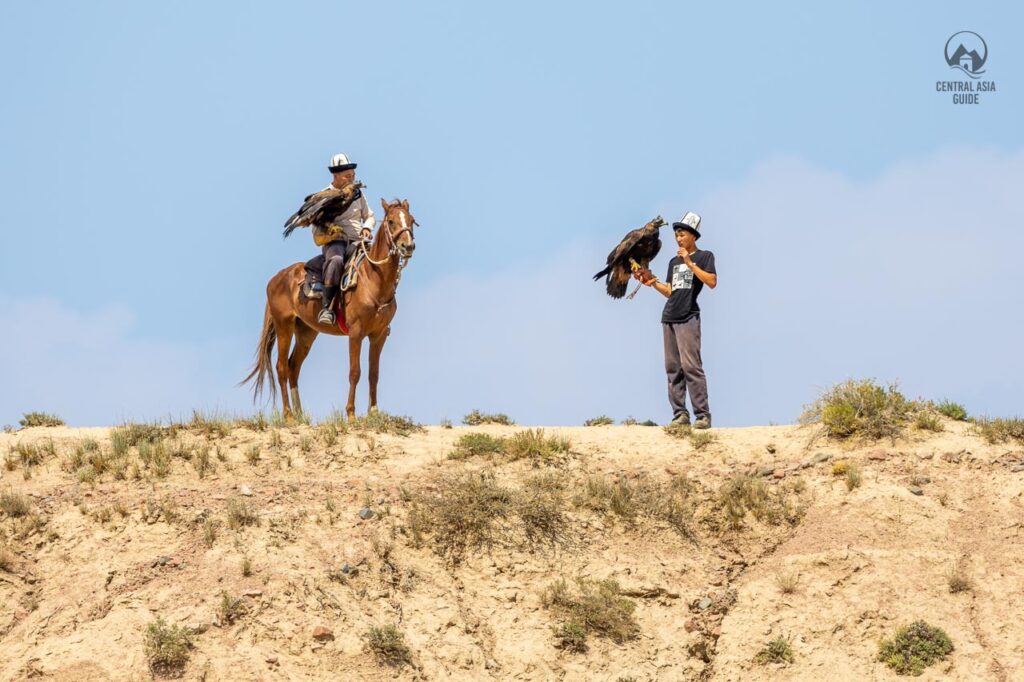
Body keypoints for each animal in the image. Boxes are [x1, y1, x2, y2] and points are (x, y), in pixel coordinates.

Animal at [240, 197, 415, 419]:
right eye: (391, 221)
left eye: (411, 220)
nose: (408, 246)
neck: (374, 279)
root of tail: (275, 279)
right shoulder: (356, 333)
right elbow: (355, 372)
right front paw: (351, 414)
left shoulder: (379, 334)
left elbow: (373, 374)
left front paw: (374, 412)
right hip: (283, 326)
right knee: (281, 368)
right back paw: (289, 415)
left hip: (306, 332)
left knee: (293, 367)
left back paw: (300, 414)